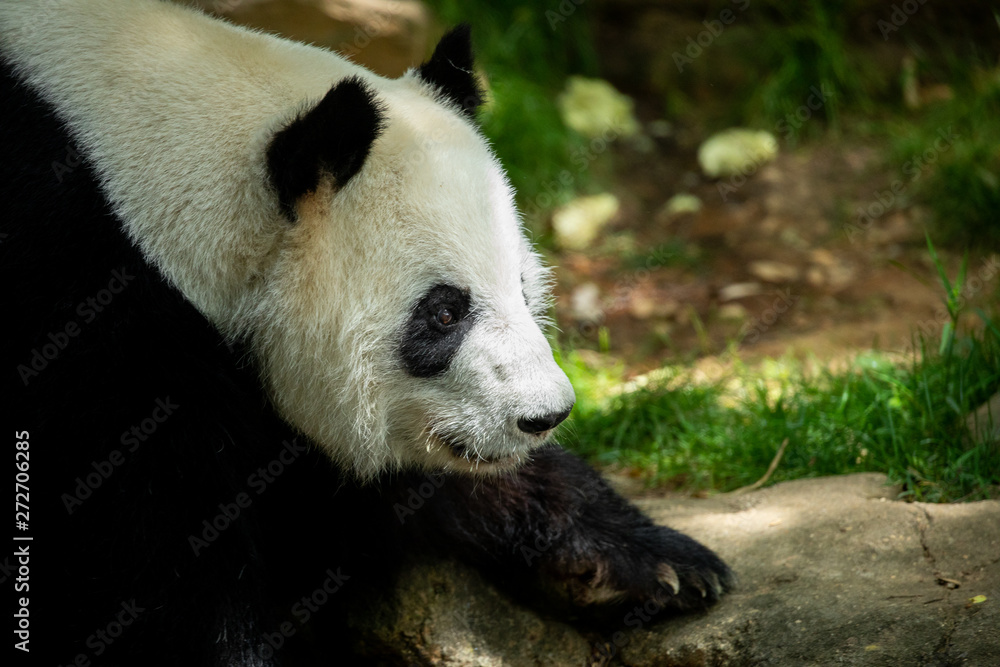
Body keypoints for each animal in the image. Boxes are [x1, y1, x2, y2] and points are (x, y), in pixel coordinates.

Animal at [1, 0, 731, 664]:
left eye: (523, 288)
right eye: (444, 312)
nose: (544, 415)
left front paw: (650, 564)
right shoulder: (84, 305)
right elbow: (154, 558)